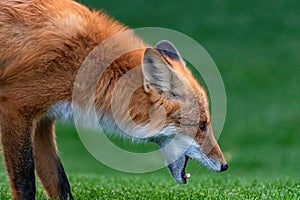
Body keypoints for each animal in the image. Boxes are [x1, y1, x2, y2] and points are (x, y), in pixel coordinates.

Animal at [0, 0, 226, 200]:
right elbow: (25, 183)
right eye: (202, 125)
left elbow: (59, 182)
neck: (84, 61)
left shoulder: (43, 120)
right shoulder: (16, 107)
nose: (225, 166)